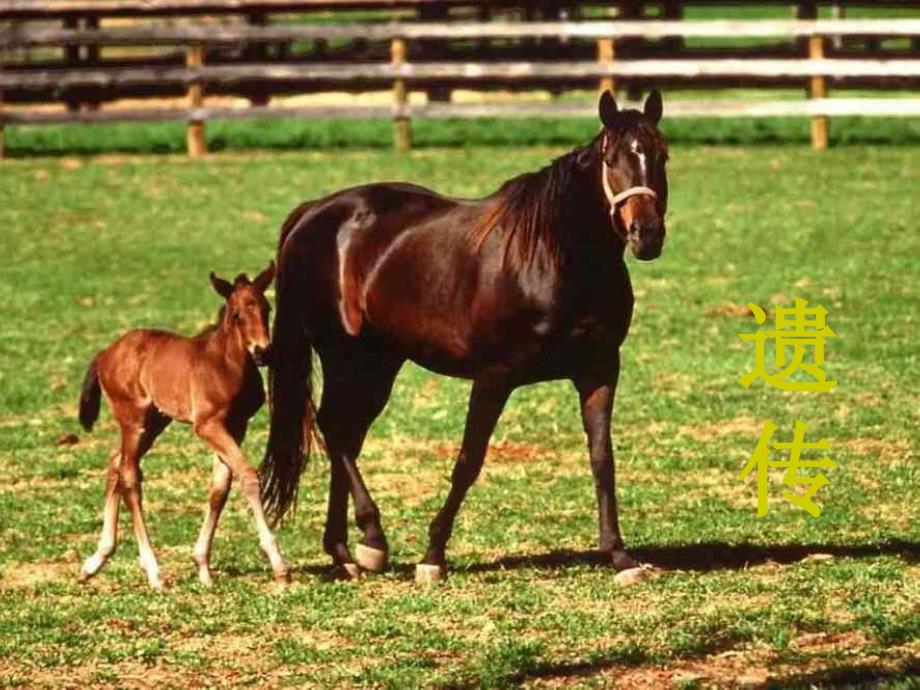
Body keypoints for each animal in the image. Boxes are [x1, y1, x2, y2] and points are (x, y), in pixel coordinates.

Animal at [77, 264, 290, 584]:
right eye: (237, 314)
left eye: (267, 308)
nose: (263, 352)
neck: (226, 364)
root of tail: (105, 353)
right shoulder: (207, 425)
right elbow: (247, 475)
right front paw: (278, 564)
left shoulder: (236, 425)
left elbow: (219, 489)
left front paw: (202, 566)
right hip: (134, 419)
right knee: (129, 476)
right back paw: (153, 572)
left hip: (155, 421)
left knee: (116, 461)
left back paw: (96, 560)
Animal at [258, 88, 668, 576]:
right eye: (613, 159)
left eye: (661, 156)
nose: (647, 235)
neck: (554, 258)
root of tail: (313, 213)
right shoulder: (493, 377)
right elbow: (469, 460)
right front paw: (433, 556)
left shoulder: (600, 370)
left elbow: (602, 459)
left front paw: (620, 556)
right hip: (343, 356)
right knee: (336, 431)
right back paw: (371, 538)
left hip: (377, 363)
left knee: (347, 435)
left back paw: (346, 550)